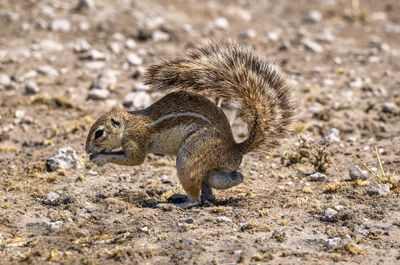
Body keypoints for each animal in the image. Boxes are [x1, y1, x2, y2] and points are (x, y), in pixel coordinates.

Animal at [86, 41, 296, 206]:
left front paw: (100, 158)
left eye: (98, 133)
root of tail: (235, 148)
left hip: (190, 156)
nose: (87, 150)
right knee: (215, 187)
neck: (129, 124)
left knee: (196, 198)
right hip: (208, 167)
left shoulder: (137, 139)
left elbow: (134, 159)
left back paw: (180, 203)